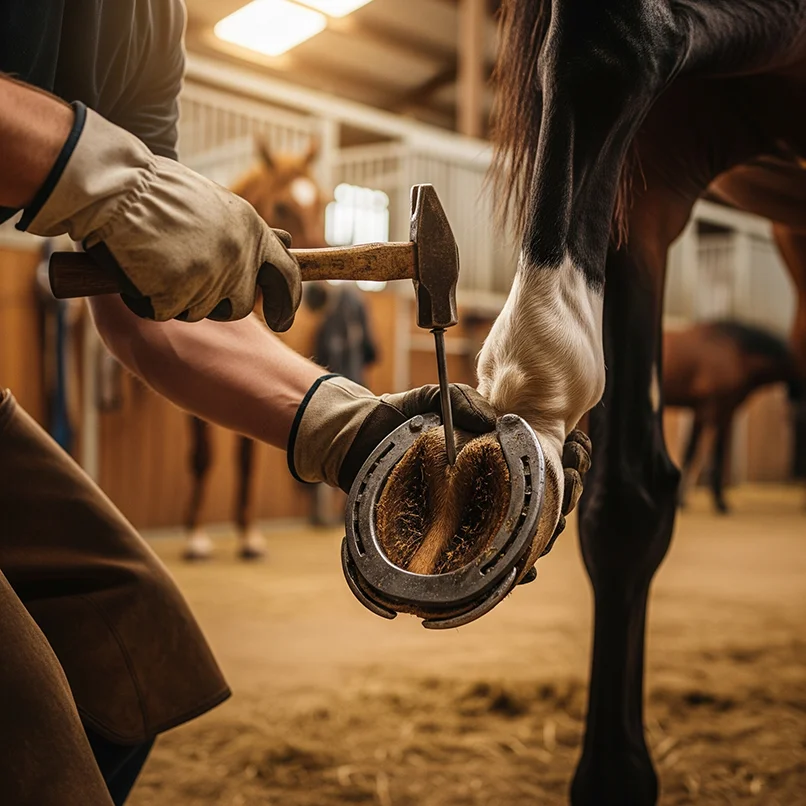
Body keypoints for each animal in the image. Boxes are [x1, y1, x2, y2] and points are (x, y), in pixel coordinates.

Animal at [184, 140, 327, 560]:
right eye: (280, 207)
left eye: (324, 203)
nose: (319, 296)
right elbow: (203, 455)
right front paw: (196, 535)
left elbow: (247, 456)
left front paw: (248, 534)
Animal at [664, 319, 802, 512]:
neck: (734, 351)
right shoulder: (716, 410)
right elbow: (710, 454)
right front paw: (719, 503)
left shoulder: (709, 412)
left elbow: (695, 452)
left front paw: (683, 500)